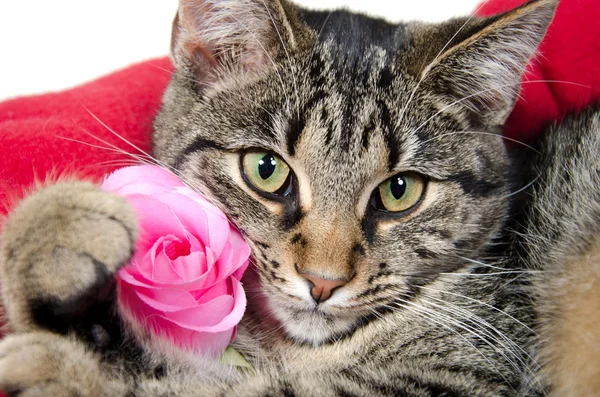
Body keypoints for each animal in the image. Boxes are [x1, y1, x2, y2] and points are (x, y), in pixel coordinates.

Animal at [1, 0, 600, 394]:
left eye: (400, 191)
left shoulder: (458, 375)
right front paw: (45, 243)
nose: (323, 281)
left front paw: (70, 361)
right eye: (266, 171)